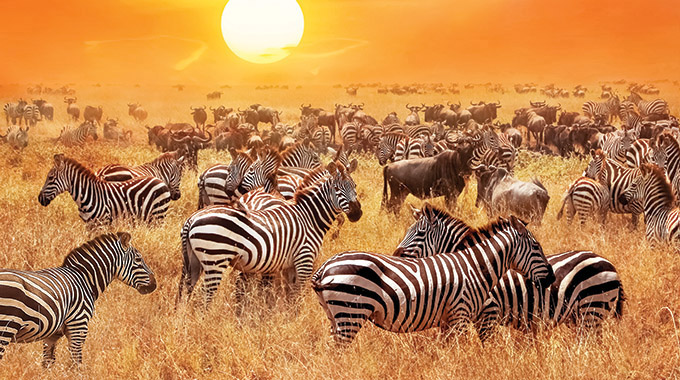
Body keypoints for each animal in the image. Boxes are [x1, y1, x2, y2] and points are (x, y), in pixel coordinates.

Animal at [0, 233, 155, 366]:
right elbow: (76, 363)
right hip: (6, 327)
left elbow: (48, 363)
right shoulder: (78, 325)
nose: (155, 285)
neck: (84, 279)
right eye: (138, 259)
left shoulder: (51, 335)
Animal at [37, 154, 173, 224]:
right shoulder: (89, 226)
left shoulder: (102, 223)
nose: (39, 199)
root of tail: (159, 180)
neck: (88, 195)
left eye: (50, 177)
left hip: (158, 215)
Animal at [310, 217, 556, 344]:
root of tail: (325, 267)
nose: (553, 277)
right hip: (350, 312)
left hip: (335, 315)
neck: (476, 267)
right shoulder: (461, 314)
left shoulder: (448, 320)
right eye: (537, 247)